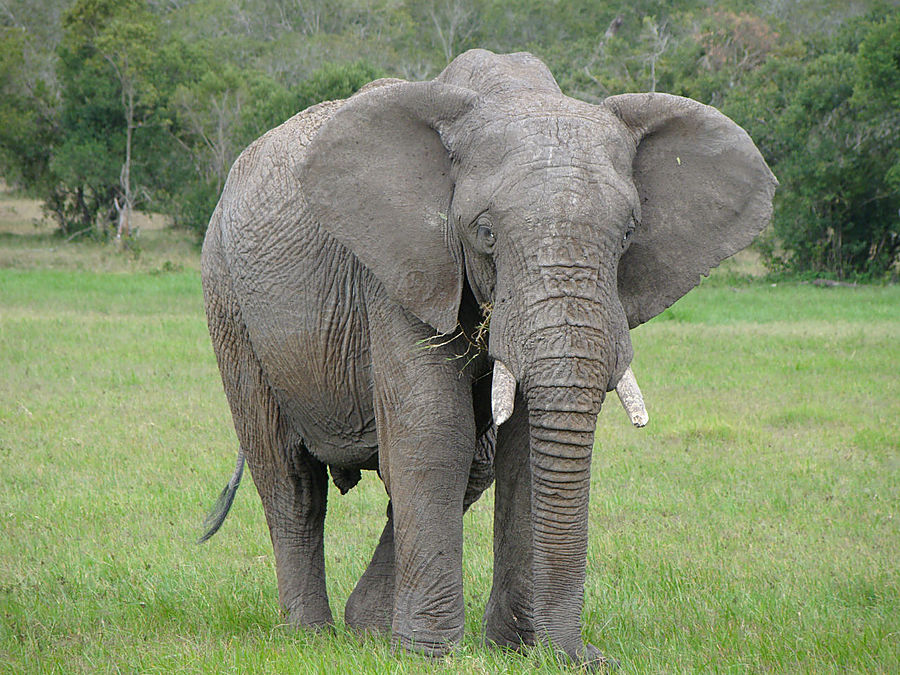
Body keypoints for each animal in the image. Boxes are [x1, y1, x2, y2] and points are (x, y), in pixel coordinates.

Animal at [200, 48, 776, 672]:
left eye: (628, 233)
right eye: (486, 234)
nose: (589, 657)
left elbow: (518, 449)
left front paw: (517, 649)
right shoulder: (401, 269)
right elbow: (433, 435)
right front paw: (432, 657)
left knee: (470, 466)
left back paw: (368, 631)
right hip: (227, 296)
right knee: (289, 477)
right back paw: (313, 637)